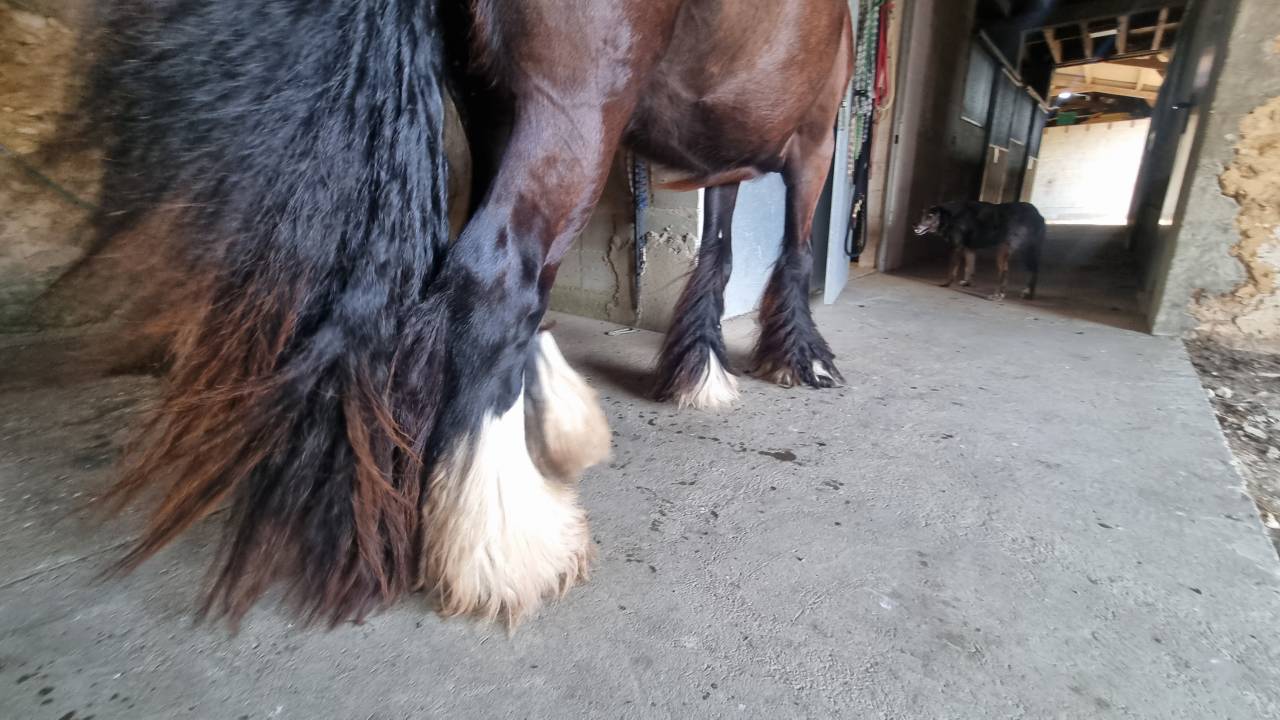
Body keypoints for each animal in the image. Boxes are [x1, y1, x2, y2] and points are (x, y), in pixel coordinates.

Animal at [83, 0, 854, 627]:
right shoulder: (816, 141)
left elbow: (717, 258)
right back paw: (508, 549)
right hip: (567, 116)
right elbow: (793, 253)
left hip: (494, 110)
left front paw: (700, 371)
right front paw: (803, 359)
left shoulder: (723, 163)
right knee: (501, 277)